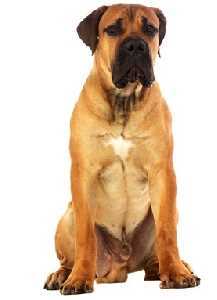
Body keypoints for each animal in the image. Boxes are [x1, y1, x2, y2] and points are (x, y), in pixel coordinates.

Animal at [43, 3, 200, 294]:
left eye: (150, 29)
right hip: (66, 217)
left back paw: (173, 267)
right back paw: (62, 275)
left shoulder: (162, 172)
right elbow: (85, 236)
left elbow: (167, 232)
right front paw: (79, 278)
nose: (136, 46)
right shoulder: (83, 174)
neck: (123, 101)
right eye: (112, 30)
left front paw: (176, 273)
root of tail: (122, 263)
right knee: (69, 255)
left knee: (158, 249)